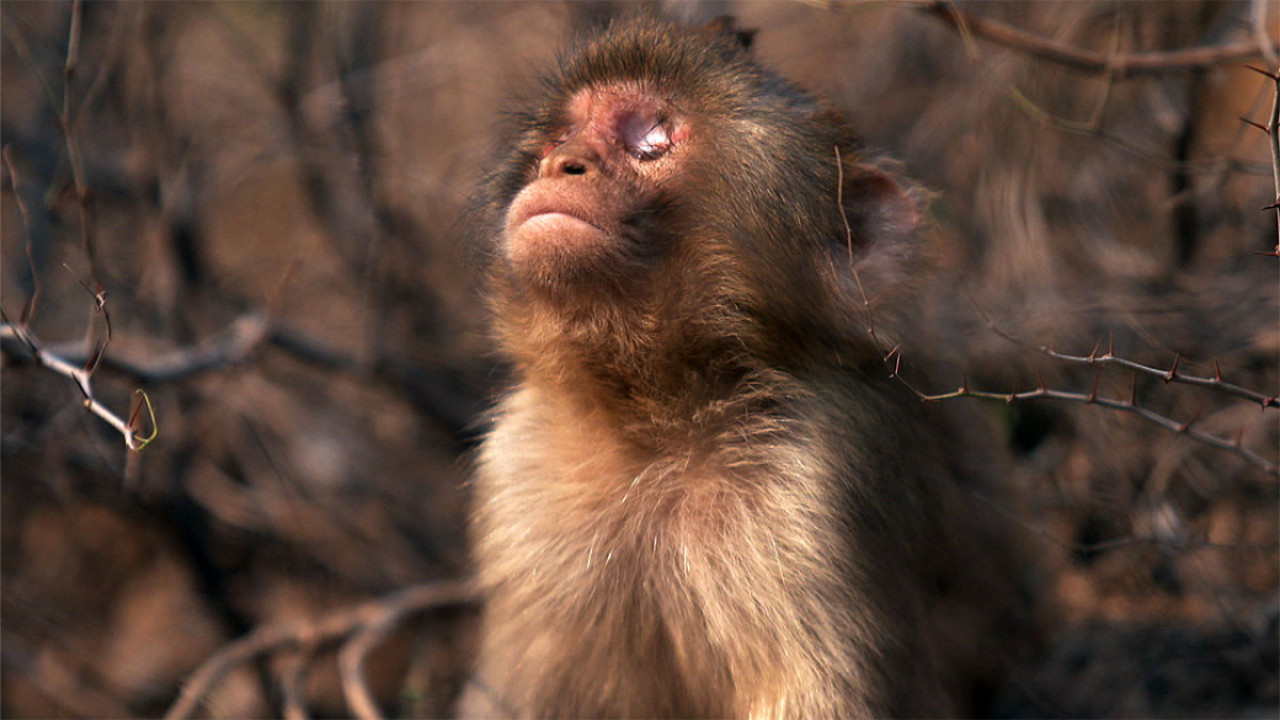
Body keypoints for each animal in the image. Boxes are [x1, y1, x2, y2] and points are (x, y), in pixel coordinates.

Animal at [462, 15, 1027, 719]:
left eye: (651, 137)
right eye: (560, 137)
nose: (561, 163)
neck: (656, 419)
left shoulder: (818, 475)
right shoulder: (519, 472)